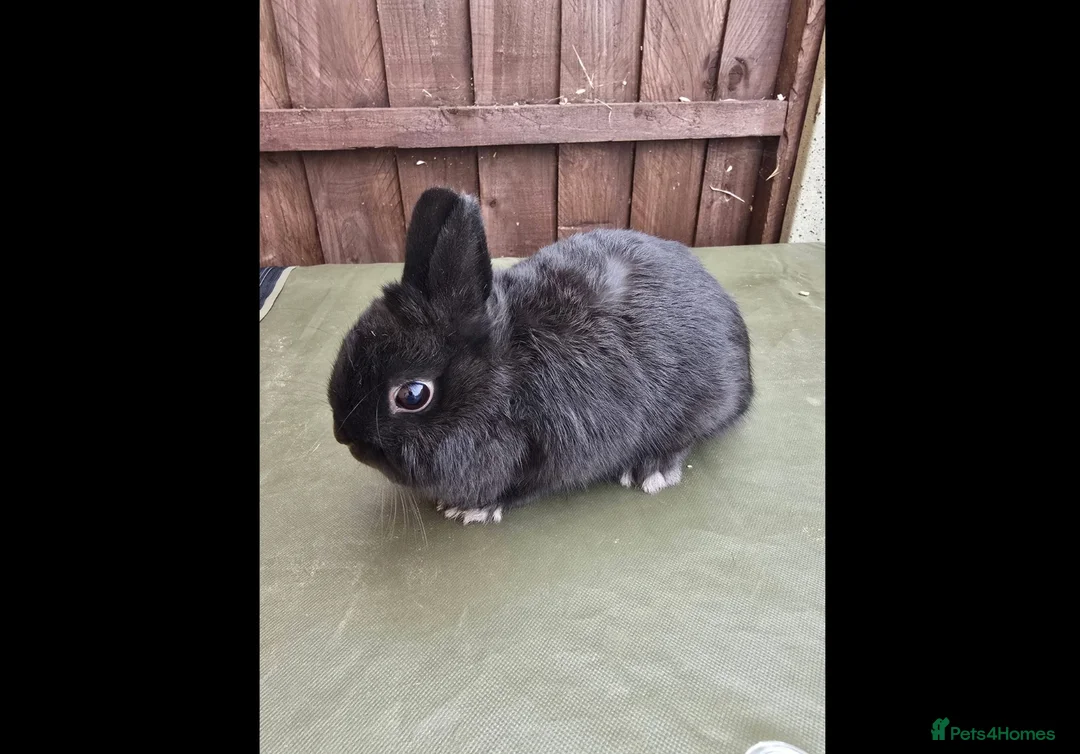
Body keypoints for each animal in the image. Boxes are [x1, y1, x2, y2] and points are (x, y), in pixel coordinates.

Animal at [328, 187, 753, 524]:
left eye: (412, 395)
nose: (345, 438)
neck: (507, 376)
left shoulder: (556, 450)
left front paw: (472, 509)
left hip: (702, 405)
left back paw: (651, 469)